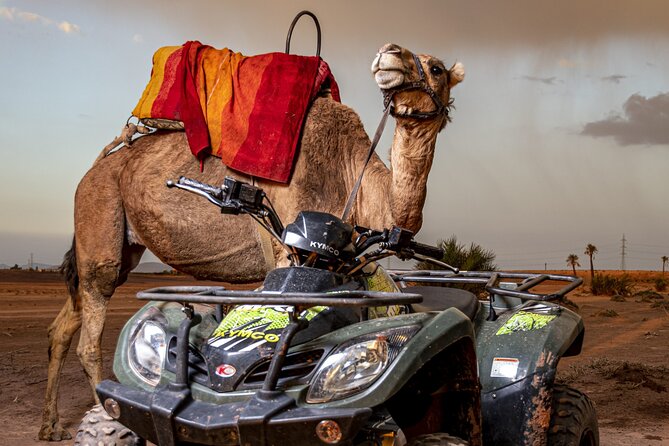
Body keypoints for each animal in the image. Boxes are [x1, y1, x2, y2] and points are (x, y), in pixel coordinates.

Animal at [39, 43, 464, 441]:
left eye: (437, 69)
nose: (391, 55)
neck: (353, 176)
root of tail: (96, 166)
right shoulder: (290, 248)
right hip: (99, 211)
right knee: (92, 322)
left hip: (116, 242)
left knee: (64, 324)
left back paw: (51, 427)